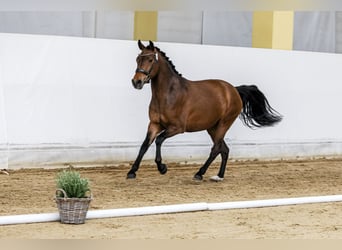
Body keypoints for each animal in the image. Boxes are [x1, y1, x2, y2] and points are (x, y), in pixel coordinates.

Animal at [127, 40, 282, 182]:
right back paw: (219, 176)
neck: (168, 94)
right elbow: (144, 145)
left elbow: (159, 140)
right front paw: (132, 172)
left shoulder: (177, 128)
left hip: (224, 124)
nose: (136, 82)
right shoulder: (154, 124)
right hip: (212, 127)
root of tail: (234, 90)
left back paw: (199, 173)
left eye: (150, 60)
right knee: (224, 149)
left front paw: (162, 168)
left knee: (216, 149)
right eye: (138, 59)